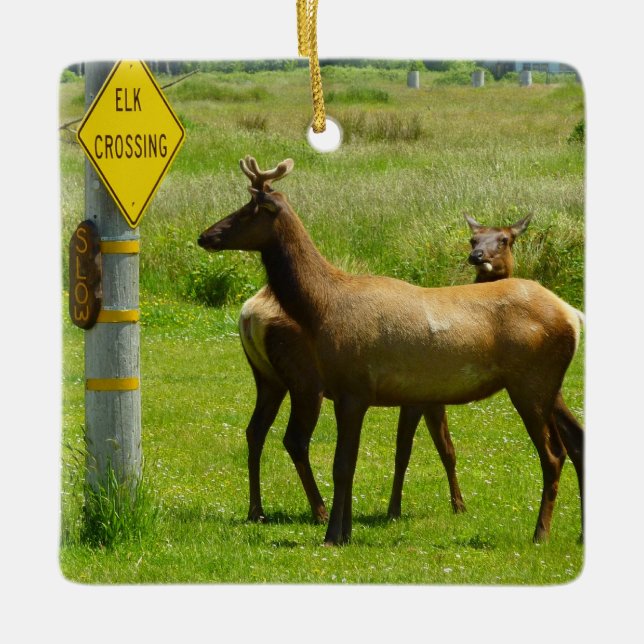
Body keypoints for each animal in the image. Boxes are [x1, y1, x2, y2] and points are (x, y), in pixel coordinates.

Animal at [198, 156, 584, 546]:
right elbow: (354, 463)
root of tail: (572, 315)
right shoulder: (353, 392)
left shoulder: (353, 388)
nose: (205, 236)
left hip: (531, 383)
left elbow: (342, 465)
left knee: (554, 454)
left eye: (248, 210)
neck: (321, 309)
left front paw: (333, 535)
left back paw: (540, 533)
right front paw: (346, 531)